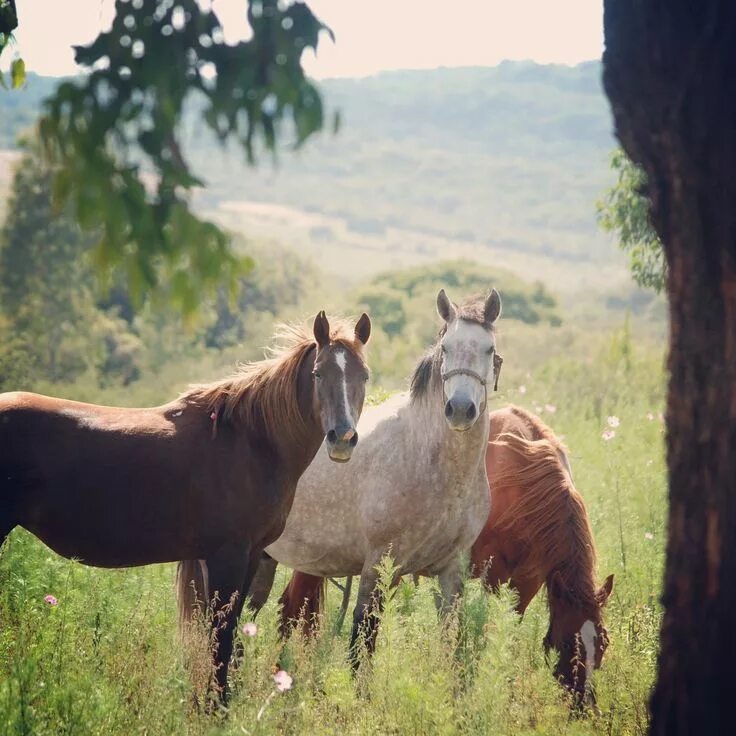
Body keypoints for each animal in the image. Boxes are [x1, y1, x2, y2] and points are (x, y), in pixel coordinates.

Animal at [0, 312, 368, 700]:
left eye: (364, 376)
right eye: (318, 373)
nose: (343, 439)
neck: (250, 442)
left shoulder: (249, 556)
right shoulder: (227, 556)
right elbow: (221, 639)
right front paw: (216, 706)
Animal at [250, 288, 504, 668]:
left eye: (488, 349)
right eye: (446, 348)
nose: (460, 409)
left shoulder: (450, 571)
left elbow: (452, 641)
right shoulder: (376, 567)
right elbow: (362, 641)